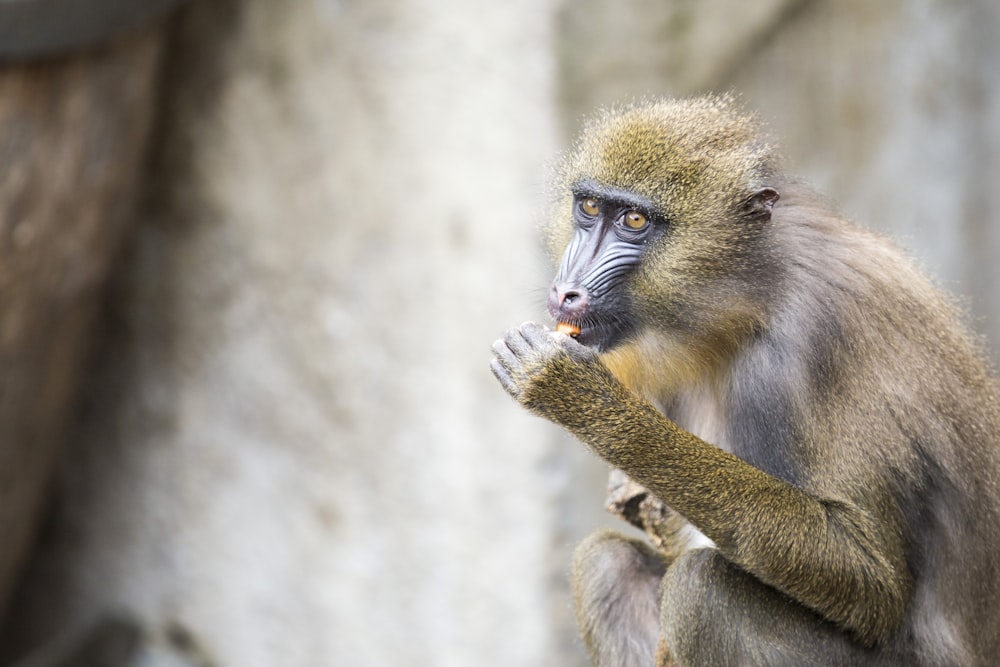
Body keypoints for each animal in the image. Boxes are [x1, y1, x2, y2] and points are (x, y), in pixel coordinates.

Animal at [492, 95, 1000, 667]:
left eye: (635, 220)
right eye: (589, 209)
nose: (567, 292)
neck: (748, 298)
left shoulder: (808, 345)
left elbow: (873, 581)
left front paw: (586, 401)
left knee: (701, 588)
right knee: (607, 563)